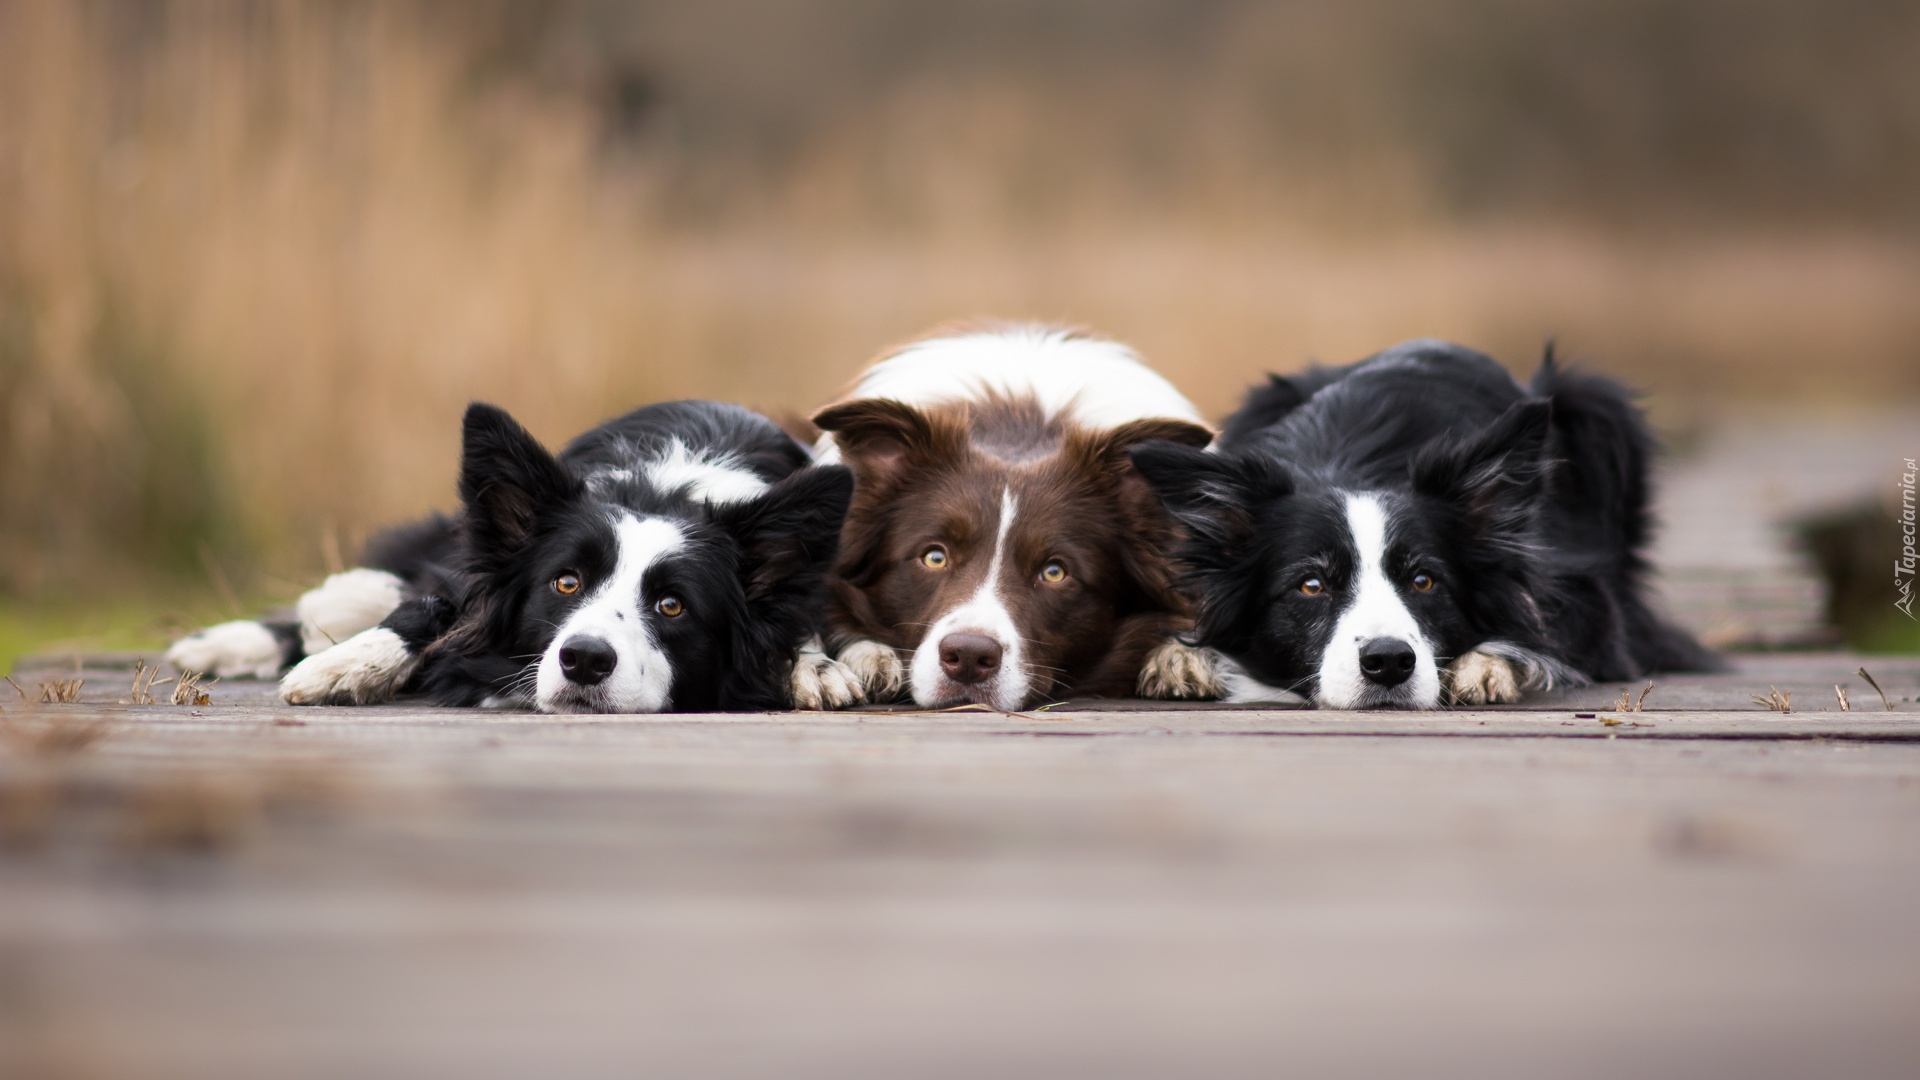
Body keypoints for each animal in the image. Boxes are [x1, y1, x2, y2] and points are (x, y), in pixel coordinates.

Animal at [165, 399, 856, 711]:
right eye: (566, 583)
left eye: (672, 605)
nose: (584, 660)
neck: (664, 489)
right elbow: (435, 607)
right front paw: (348, 665)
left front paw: (812, 666)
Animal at [1128, 338, 1720, 707]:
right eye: (1311, 585)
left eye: (1423, 580)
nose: (1389, 662)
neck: (1347, 463)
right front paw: (1182, 658)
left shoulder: (1585, 598)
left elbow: (1537, 632)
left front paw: (1485, 665)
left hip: (1598, 405)